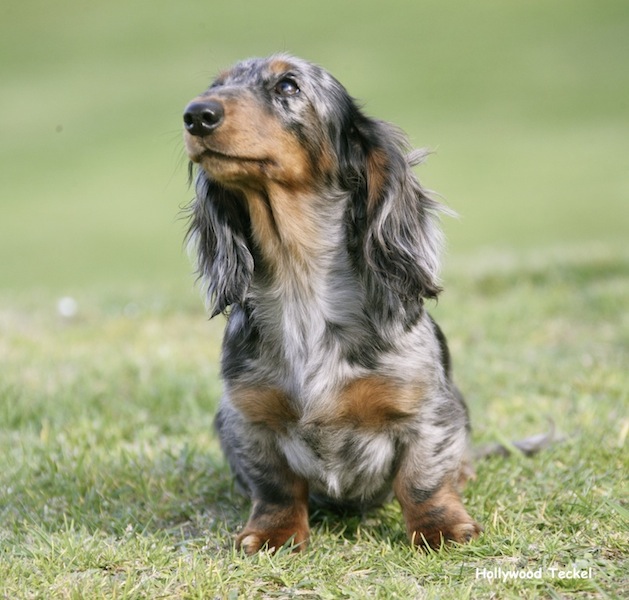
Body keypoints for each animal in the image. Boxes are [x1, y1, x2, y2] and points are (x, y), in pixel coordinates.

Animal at [182, 55, 480, 552]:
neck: (302, 289)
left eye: (289, 85)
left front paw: (440, 527)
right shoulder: (248, 417)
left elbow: (421, 479)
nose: (196, 115)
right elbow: (276, 486)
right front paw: (274, 534)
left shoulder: (424, 409)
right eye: (215, 85)